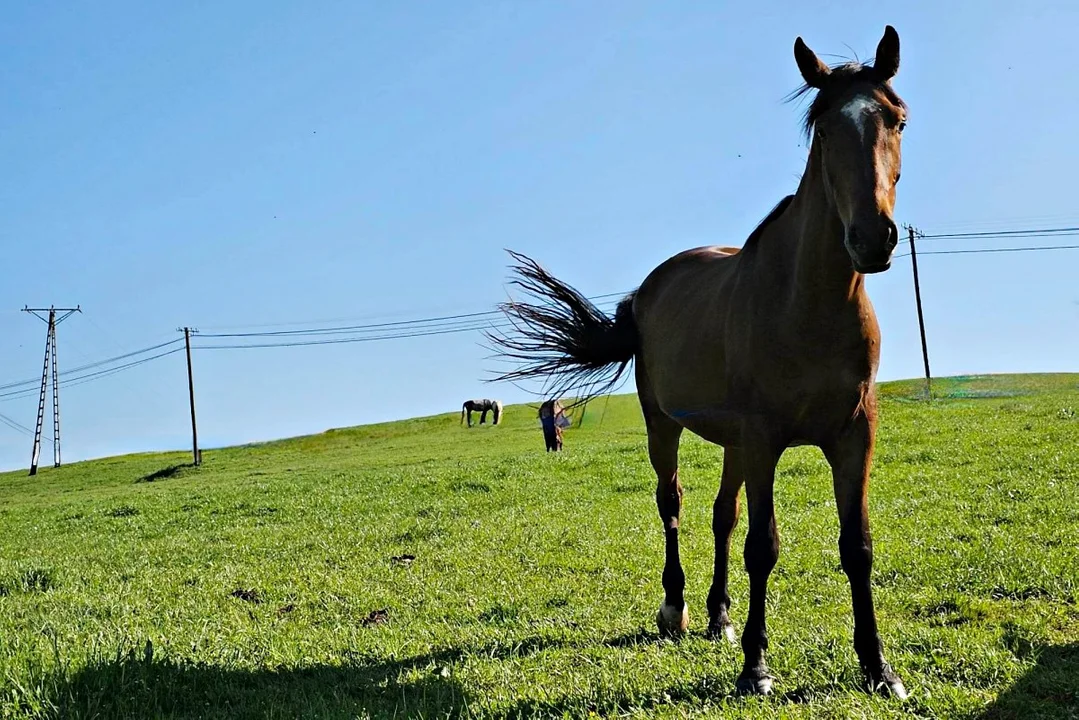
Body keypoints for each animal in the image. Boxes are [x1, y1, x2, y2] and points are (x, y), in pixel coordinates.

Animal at [492, 26, 910, 699]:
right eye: (822, 129)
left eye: (896, 119)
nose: (873, 238)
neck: (807, 303)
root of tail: (649, 288)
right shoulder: (765, 438)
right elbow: (763, 546)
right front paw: (756, 668)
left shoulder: (854, 434)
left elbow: (857, 547)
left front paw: (878, 668)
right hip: (665, 426)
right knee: (674, 504)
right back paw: (677, 609)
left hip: (735, 442)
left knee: (721, 517)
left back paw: (719, 615)